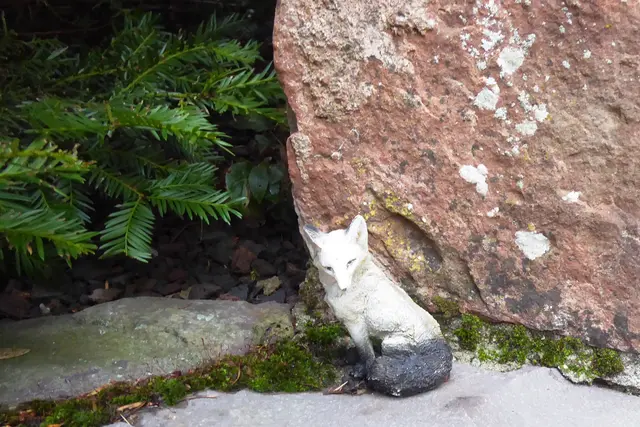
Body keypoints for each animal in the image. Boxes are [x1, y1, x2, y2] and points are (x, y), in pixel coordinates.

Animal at [302, 214, 453, 397]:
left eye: (350, 262)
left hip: (390, 343)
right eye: (329, 268)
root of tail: (441, 344)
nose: (344, 287)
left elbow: (367, 354)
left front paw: (362, 371)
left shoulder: (355, 323)